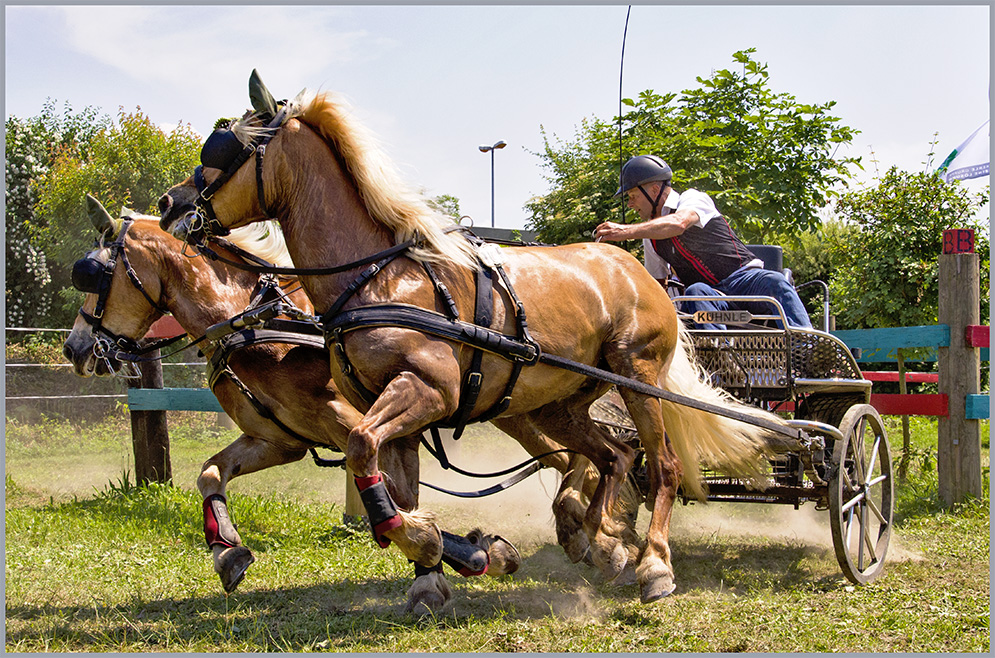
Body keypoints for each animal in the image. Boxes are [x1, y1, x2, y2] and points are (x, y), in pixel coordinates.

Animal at [63, 204, 532, 608]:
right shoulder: (277, 440)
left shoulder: (350, 422)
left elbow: (393, 503)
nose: (74, 348)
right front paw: (227, 551)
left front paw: (480, 554)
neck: (257, 323)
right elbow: (211, 473)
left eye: (94, 274)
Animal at [161, 74, 784, 604]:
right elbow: (398, 490)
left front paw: (442, 546)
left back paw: (653, 563)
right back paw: (599, 542)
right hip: (558, 403)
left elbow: (362, 453)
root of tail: (635, 269)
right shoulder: (389, 411)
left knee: (662, 465)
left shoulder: (425, 390)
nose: (170, 204)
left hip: (638, 379)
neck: (376, 277)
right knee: (612, 455)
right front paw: (430, 570)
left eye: (221, 148)